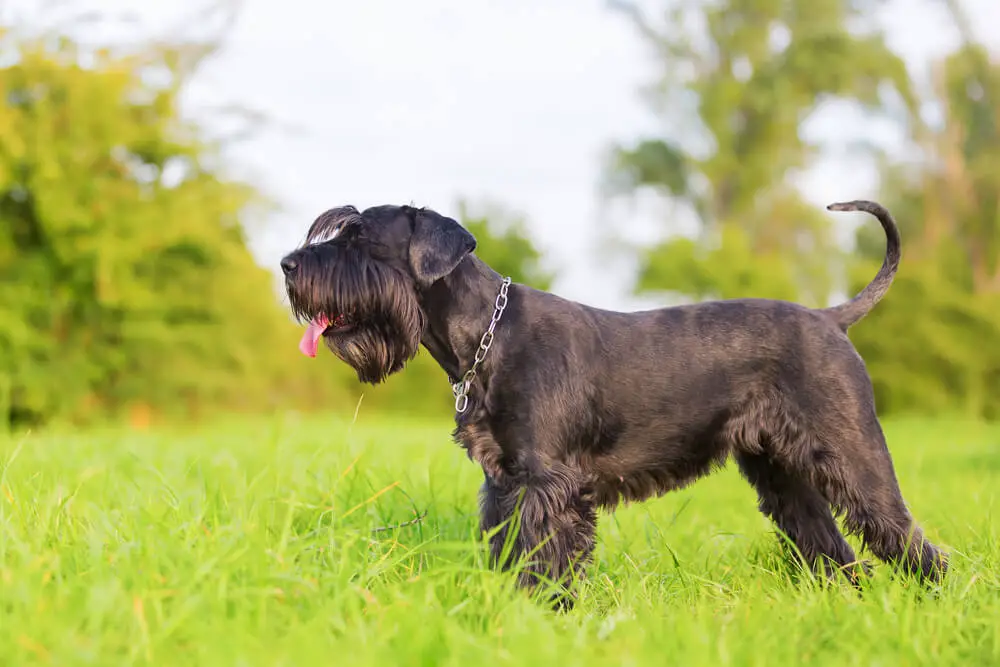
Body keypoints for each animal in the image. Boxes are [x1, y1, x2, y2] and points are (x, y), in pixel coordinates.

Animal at [280, 201, 944, 608]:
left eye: (359, 238)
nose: (287, 264)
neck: (487, 334)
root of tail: (833, 319)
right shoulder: (505, 483)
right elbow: (507, 551)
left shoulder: (549, 485)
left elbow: (544, 559)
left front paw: (543, 615)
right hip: (783, 475)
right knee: (833, 550)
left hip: (854, 456)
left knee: (906, 537)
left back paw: (934, 604)